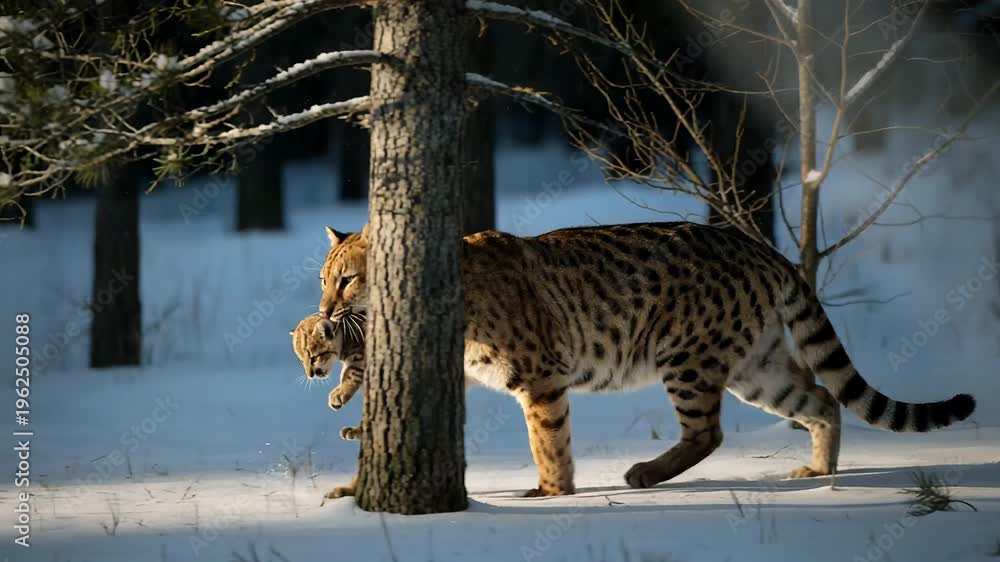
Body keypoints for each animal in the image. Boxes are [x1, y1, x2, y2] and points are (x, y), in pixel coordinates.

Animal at [317, 222, 976, 497]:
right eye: (326, 279)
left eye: (347, 280)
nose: (323, 311)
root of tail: (759, 245)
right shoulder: (464, 370)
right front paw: (354, 471)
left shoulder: (540, 376)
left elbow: (548, 442)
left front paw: (552, 494)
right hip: (755, 367)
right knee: (820, 398)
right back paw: (820, 472)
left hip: (687, 357)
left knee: (709, 433)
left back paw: (644, 474)